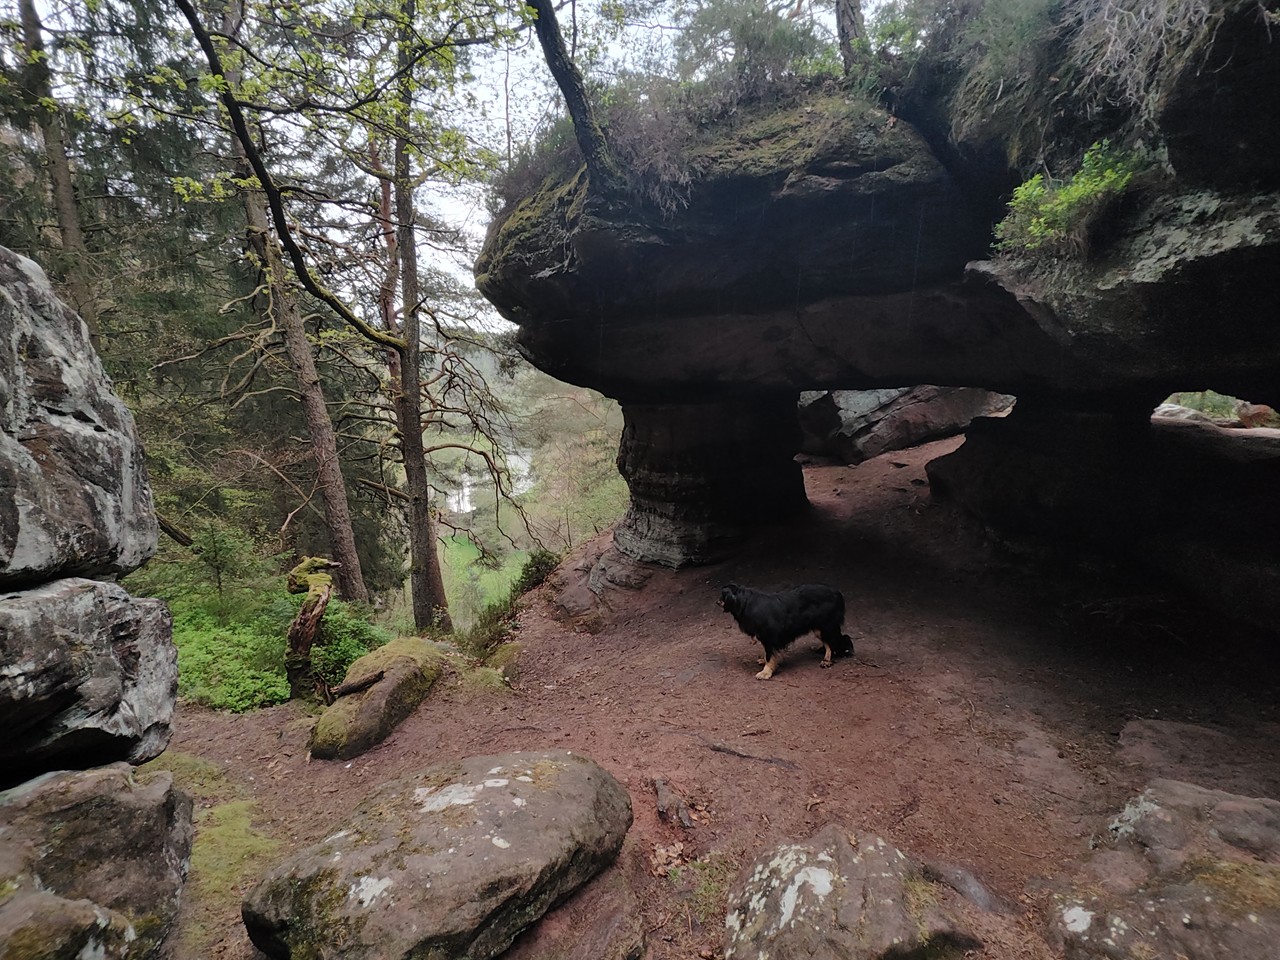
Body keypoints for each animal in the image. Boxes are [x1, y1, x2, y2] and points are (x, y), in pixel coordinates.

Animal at [718, 582, 854, 680]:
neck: (744, 602)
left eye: (722, 595)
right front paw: (765, 662)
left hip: (824, 625)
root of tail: (838, 593)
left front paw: (766, 672)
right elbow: (768, 654)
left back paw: (827, 660)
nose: (717, 601)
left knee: (833, 642)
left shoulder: (768, 637)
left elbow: (769, 655)